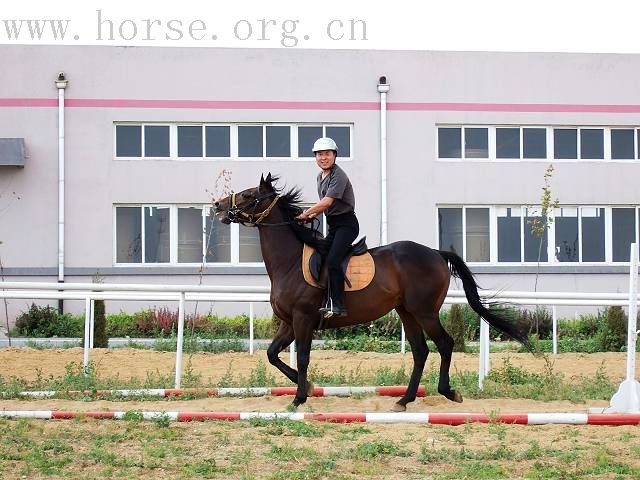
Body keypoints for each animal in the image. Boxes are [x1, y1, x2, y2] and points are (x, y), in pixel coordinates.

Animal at [215, 174, 528, 410]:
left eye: (249, 194)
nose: (218, 206)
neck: (289, 262)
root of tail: (436, 253)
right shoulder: (289, 322)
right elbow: (272, 354)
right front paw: (309, 387)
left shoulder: (303, 319)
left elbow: (302, 357)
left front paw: (300, 398)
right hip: (406, 312)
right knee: (420, 351)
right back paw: (404, 400)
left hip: (424, 311)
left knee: (445, 344)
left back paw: (448, 392)